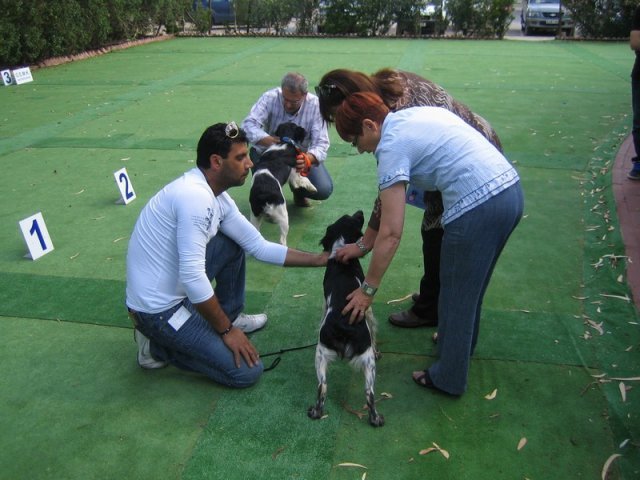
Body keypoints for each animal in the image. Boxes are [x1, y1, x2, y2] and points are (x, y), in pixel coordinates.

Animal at [306, 210, 384, 428]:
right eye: (355, 218)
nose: (361, 211)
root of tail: (343, 323)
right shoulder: (367, 307)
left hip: (322, 355)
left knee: (324, 387)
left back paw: (317, 412)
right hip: (364, 359)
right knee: (367, 393)